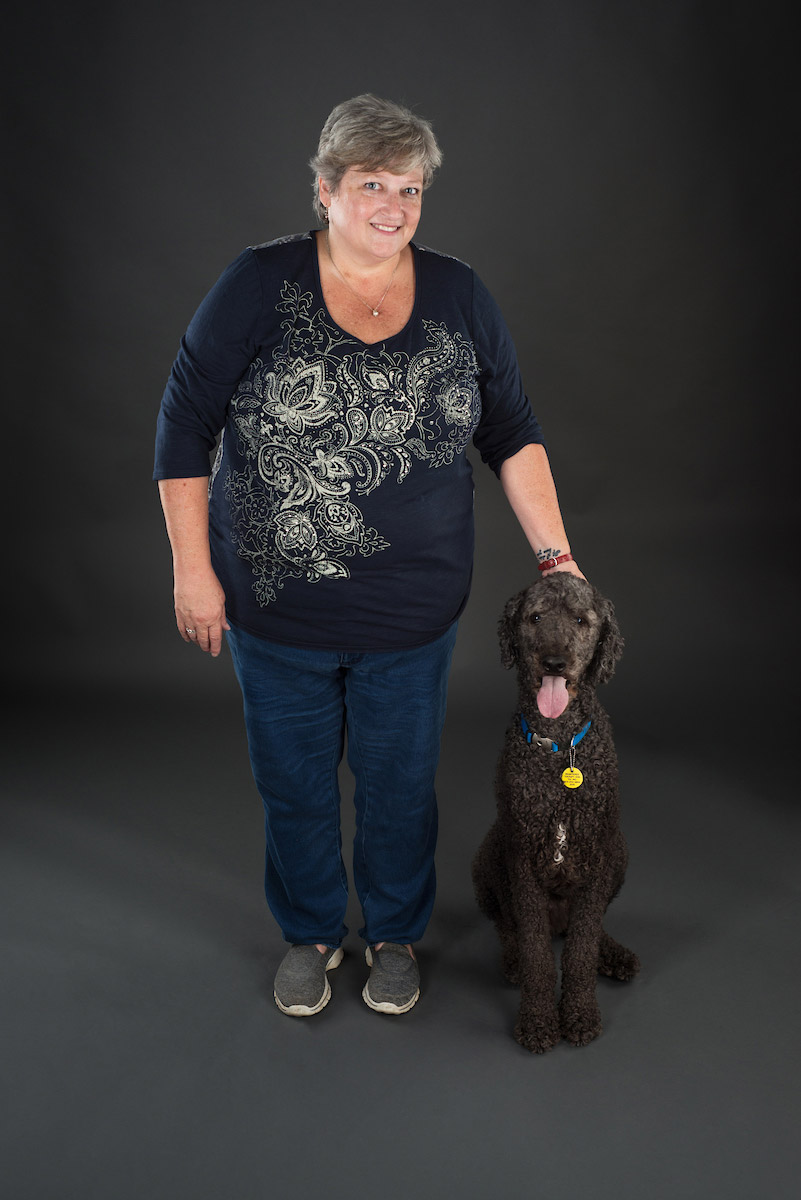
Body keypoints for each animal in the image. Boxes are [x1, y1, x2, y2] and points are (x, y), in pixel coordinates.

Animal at [472, 571, 642, 1051]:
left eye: (582, 620)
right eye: (535, 617)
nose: (554, 662)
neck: (559, 747)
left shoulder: (598, 852)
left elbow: (582, 949)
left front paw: (580, 1013)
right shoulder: (523, 860)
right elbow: (536, 952)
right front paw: (538, 1019)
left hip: (620, 851)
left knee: (588, 925)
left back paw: (613, 952)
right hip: (490, 853)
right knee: (507, 924)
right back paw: (511, 959)